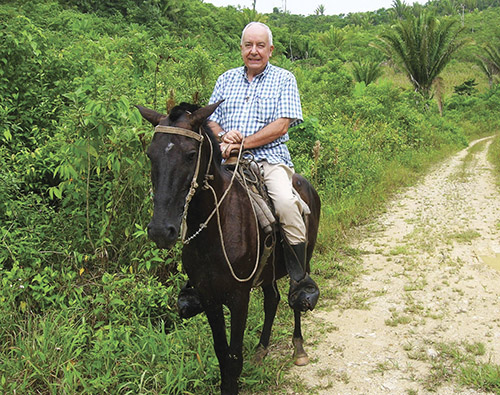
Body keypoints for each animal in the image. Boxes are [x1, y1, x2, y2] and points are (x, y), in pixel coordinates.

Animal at [137, 101, 320, 395]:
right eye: (150, 154)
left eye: (191, 155)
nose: (161, 230)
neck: (217, 226)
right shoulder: (209, 297)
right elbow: (222, 353)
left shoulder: (238, 297)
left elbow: (234, 357)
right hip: (267, 271)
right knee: (272, 300)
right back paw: (261, 349)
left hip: (304, 260)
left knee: (295, 298)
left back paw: (299, 348)